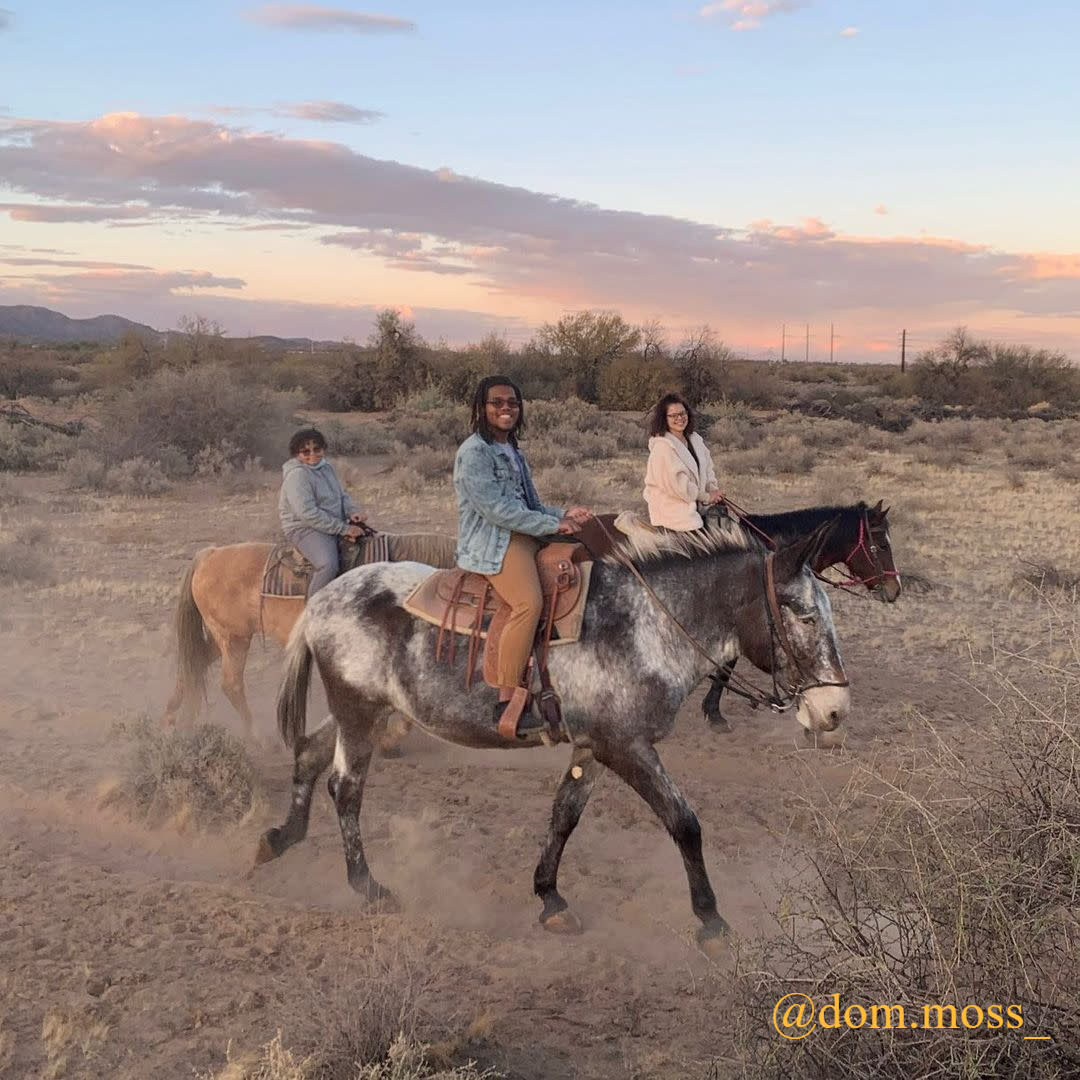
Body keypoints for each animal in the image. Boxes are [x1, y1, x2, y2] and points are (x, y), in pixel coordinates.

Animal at [164, 531, 455, 743]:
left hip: (223, 638)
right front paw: (389, 738)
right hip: (234, 638)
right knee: (230, 683)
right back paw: (256, 738)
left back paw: (176, 720)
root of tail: (208, 555)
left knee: (193, 665)